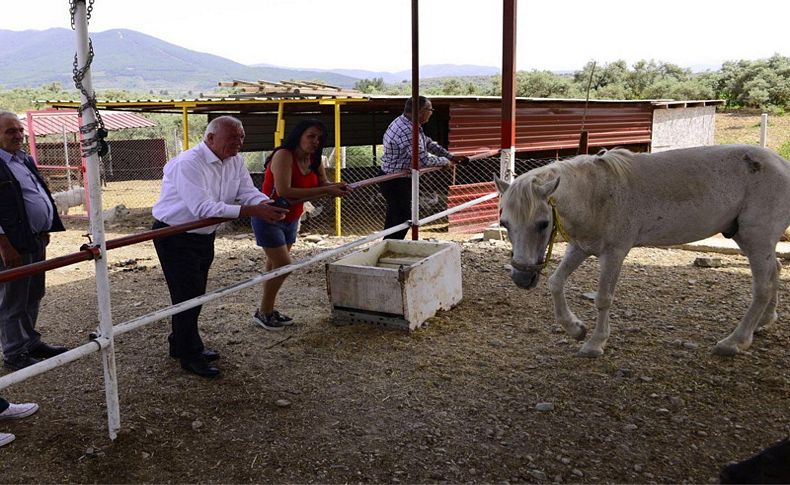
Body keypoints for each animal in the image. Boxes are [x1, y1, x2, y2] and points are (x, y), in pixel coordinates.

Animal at [498, 144, 790, 356]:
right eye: (504, 223)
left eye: (543, 223)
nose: (522, 278)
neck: (596, 194)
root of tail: (782, 164)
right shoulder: (580, 248)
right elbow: (556, 283)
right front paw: (575, 329)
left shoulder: (614, 253)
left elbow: (603, 298)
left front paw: (595, 343)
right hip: (748, 238)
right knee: (775, 270)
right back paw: (763, 322)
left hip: (757, 238)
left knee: (763, 286)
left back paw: (734, 342)